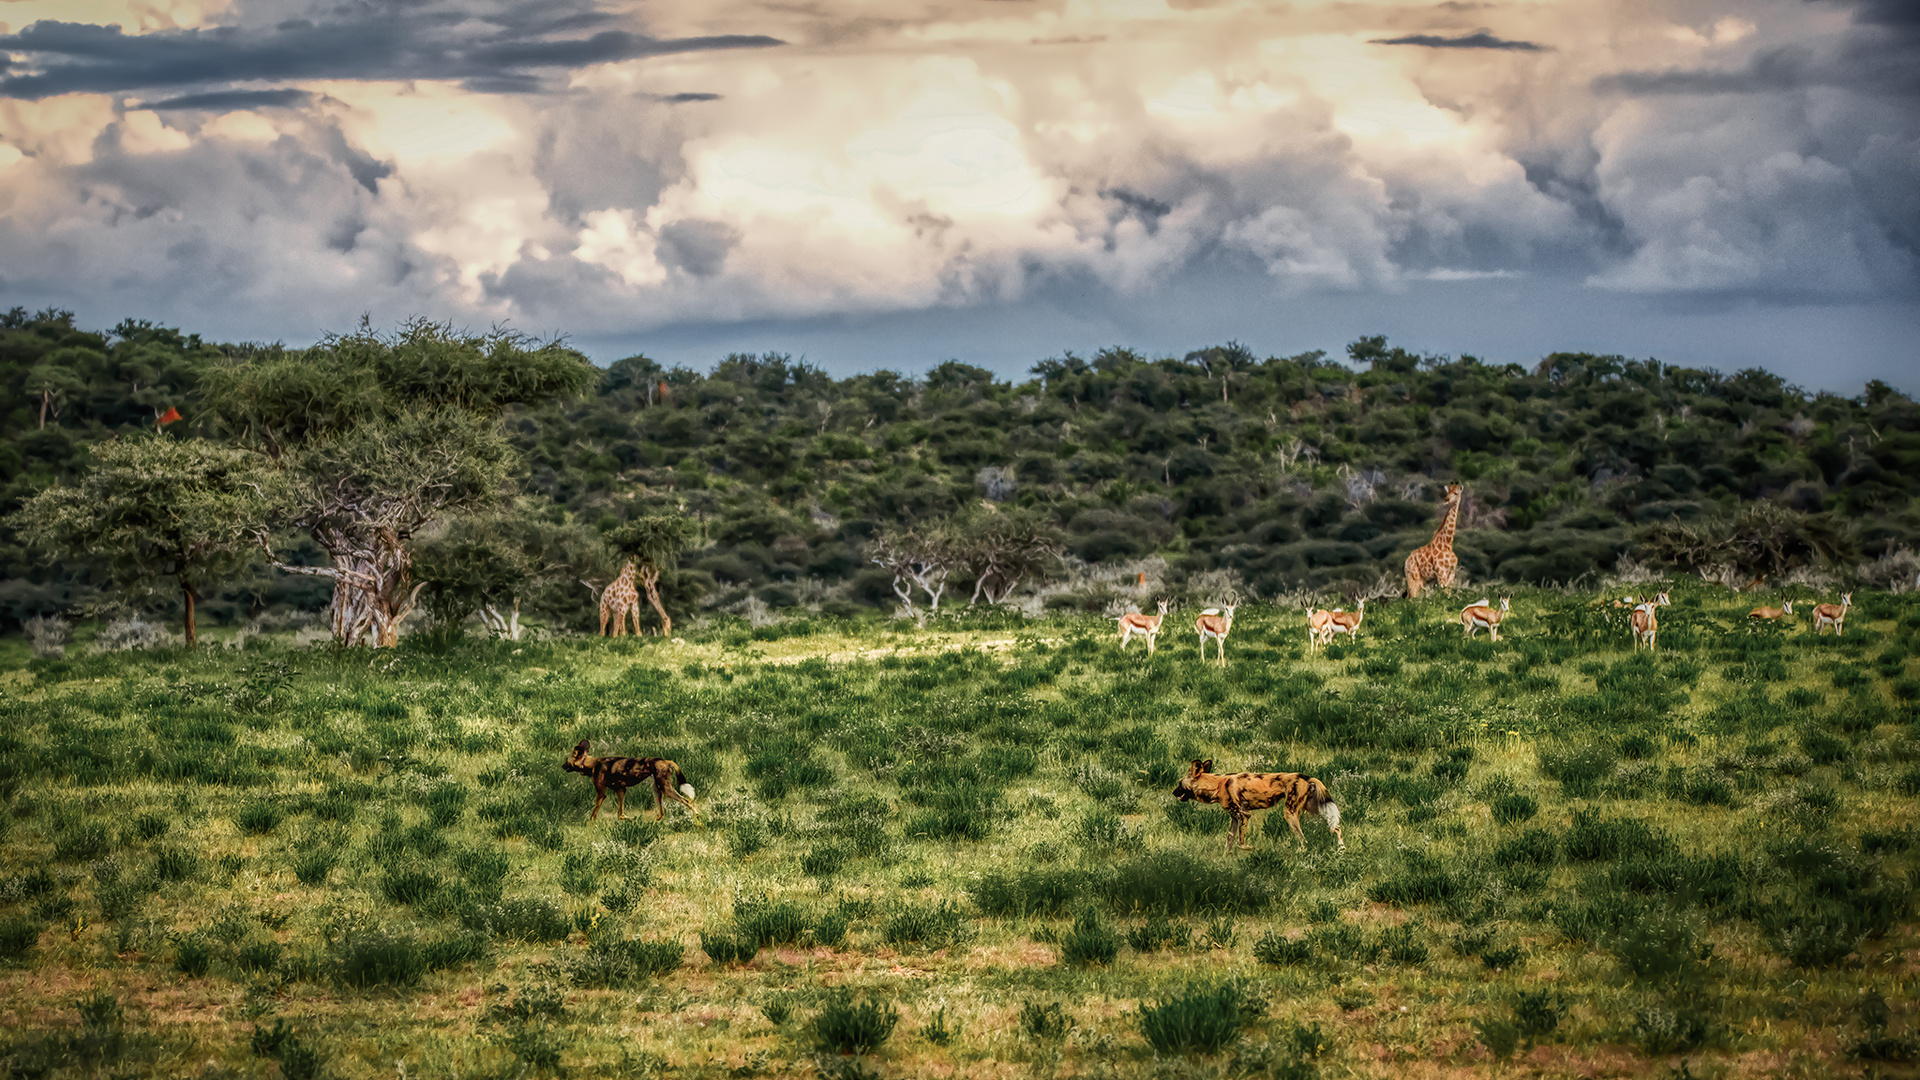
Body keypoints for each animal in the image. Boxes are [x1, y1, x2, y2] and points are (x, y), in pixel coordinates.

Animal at [564, 734, 702, 818]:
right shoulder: (621, 790)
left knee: (687, 801)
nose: (562, 766)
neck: (592, 764)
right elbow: (621, 814)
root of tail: (665, 761)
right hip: (657, 790)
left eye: (566, 761)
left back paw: (697, 816)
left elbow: (593, 814)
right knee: (661, 813)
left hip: (666, 789)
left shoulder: (602, 794)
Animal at [1159, 757, 1344, 849]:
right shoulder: (1234, 818)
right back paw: (1341, 851)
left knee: (1303, 839)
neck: (1216, 784)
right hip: (1315, 809)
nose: (1173, 792)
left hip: (1290, 813)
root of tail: (1307, 777)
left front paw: (1246, 850)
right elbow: (1229, 841)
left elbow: (1241, 843)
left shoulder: (1244, 815)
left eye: (1179, 784)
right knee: (1336, 828)